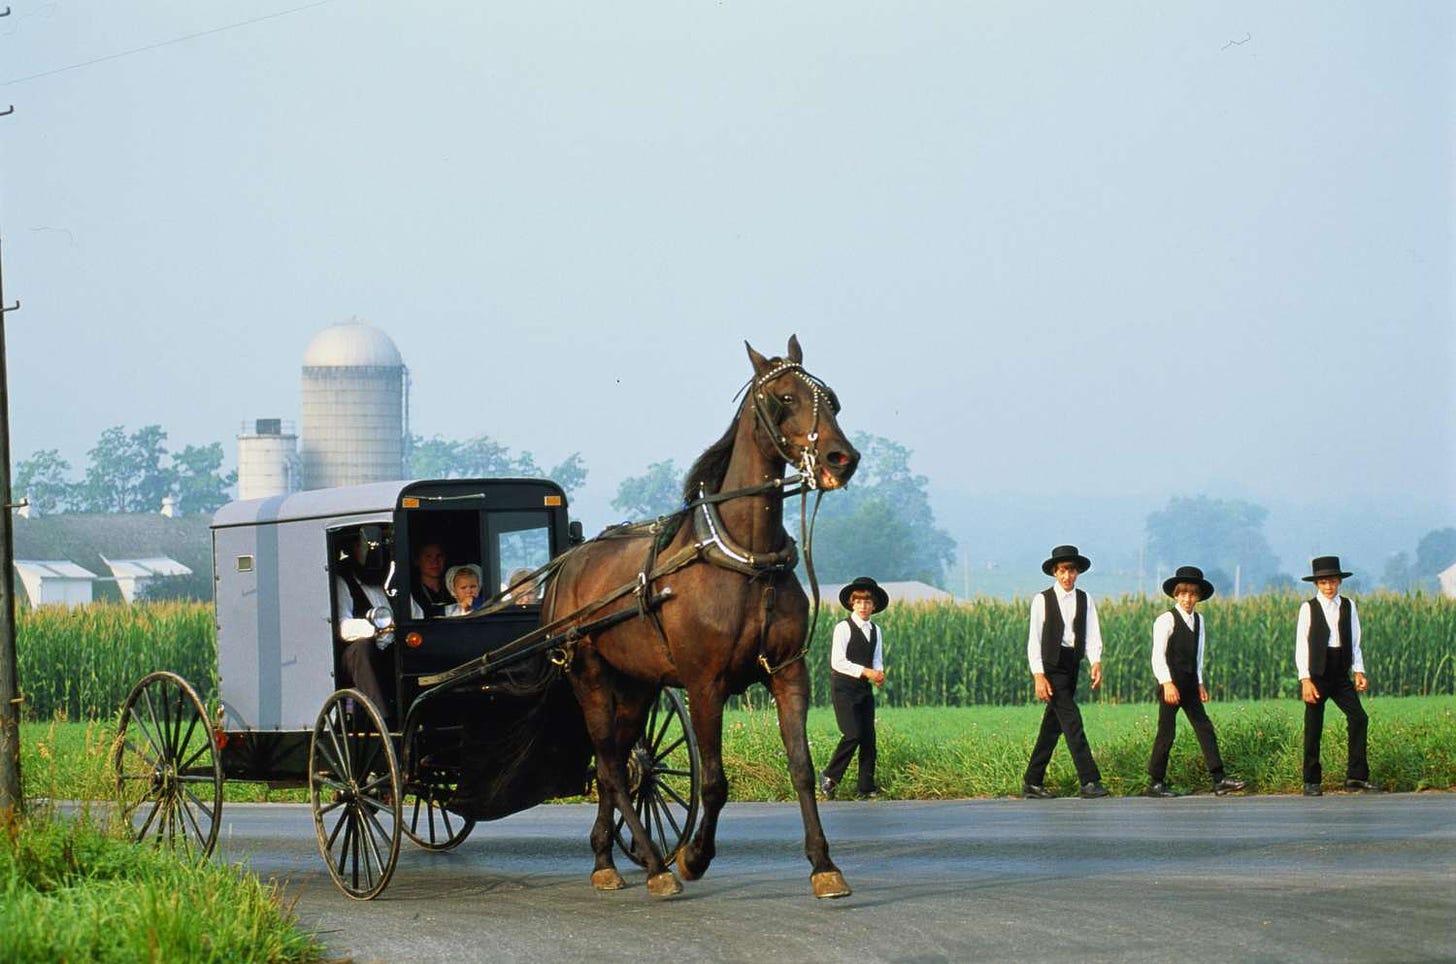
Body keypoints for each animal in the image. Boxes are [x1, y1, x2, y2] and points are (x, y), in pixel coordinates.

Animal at [541, 336, 856, 902]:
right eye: (784, 397)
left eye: (832, 400)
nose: (842, 458)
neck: (744, 561)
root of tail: (568, 563)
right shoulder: (704, 683)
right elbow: (712, 780)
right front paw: (693, 856)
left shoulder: (788, 672)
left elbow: (801, 767)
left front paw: (823, 864)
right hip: (588, 673)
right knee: (611, 766)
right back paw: (657, 866)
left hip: (637, 681)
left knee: (619, 761)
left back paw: (607, 858)